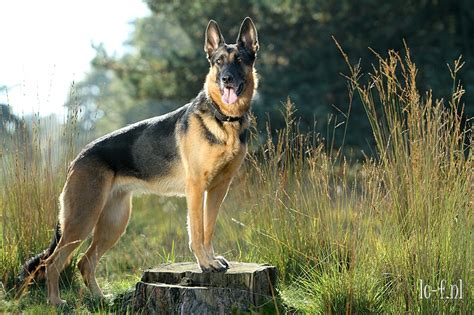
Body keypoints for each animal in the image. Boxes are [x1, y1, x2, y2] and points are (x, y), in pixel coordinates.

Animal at [20, 17, 260, 306]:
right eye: (219, 61)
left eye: (240, 60)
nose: (226, 80)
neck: (224, 120)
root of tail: (77, 159)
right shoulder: (196, 188)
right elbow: (197, 231)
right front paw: (205, 263)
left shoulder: (218, 189)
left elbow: (209, 228)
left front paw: (212, 260)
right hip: (83, 219)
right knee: (53, 263)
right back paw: (56, 302)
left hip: (114, 222)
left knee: (84, 262)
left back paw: (101, 298)